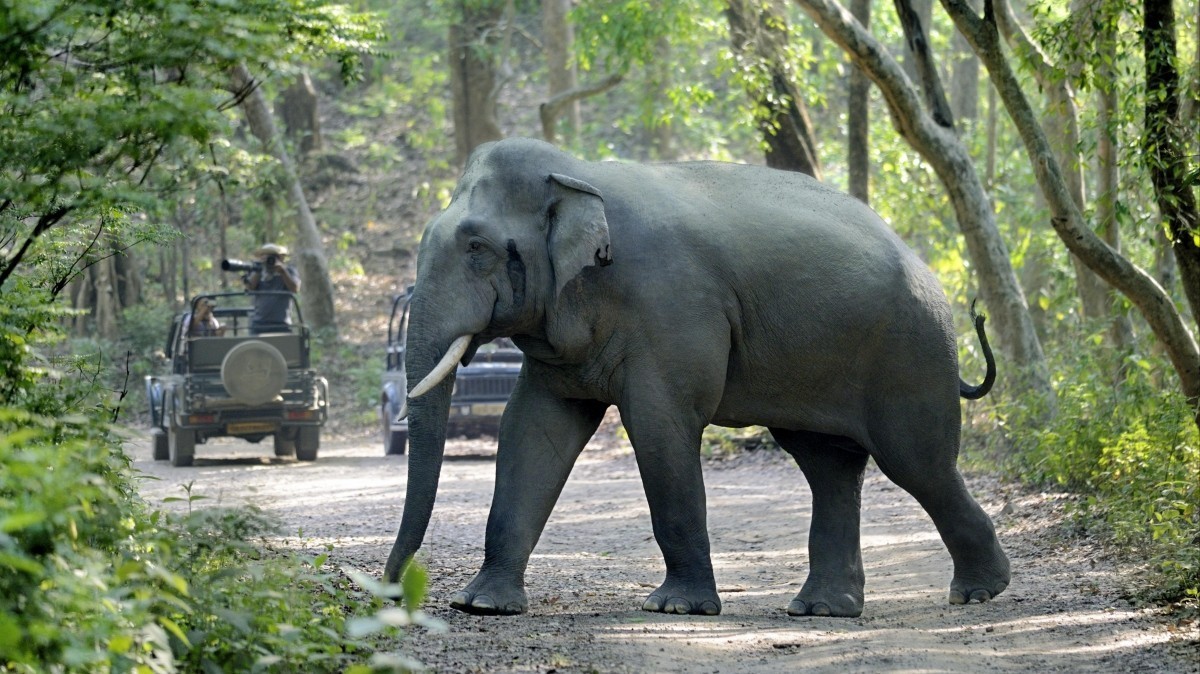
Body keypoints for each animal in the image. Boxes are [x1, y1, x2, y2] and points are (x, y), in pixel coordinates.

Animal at [384, 134, 1003, 614]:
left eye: (476, 247)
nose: (390, 593)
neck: (580, 172)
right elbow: (532, 430)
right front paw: (481, 604)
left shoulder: (672, 308)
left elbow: (661, 426)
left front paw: (676, 607)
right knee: (827, 465)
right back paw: (822, 609)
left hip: (910, 352)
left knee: (918, 463)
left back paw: (978, 592)